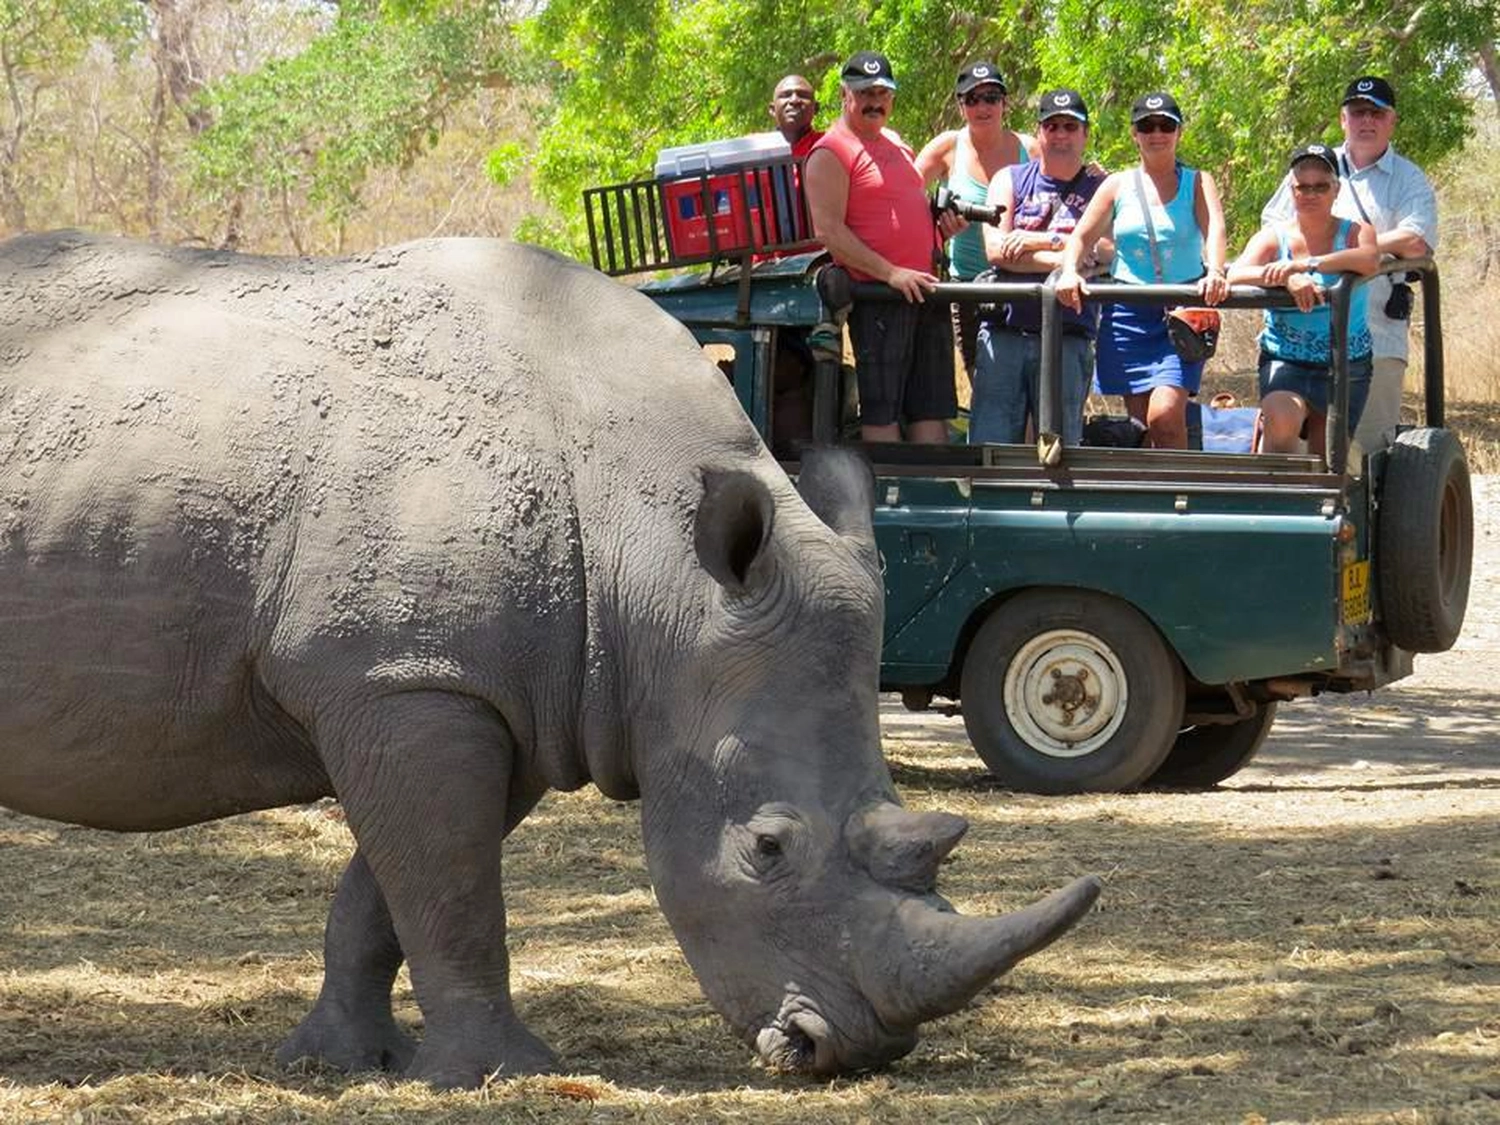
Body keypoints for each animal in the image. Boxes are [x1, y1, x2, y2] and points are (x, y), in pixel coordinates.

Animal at [0, 231, 1100, 1087]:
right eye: (766, 847)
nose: (846, 1051)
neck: (656, 562)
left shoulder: (501, 695)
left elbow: (391, 893)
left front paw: (339, 1062)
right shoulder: (410, 680)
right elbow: (454, 895)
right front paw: (498, 1074)